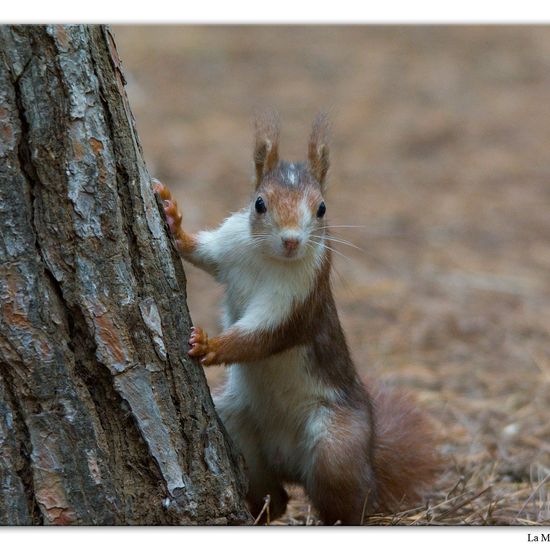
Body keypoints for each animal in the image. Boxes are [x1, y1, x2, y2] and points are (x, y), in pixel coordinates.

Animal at [154, 112, 444, 528]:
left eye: (321, 208)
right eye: (259, 203)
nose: (291, 240)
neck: (270, 259)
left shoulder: (298, 298)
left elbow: (263, 335)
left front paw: (212, 345)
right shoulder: (228, 248)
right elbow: (202, 253)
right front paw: (173, 219)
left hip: (336, 447)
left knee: (347, 500)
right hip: (236, 423)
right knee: (275, 497)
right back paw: (259, 510)